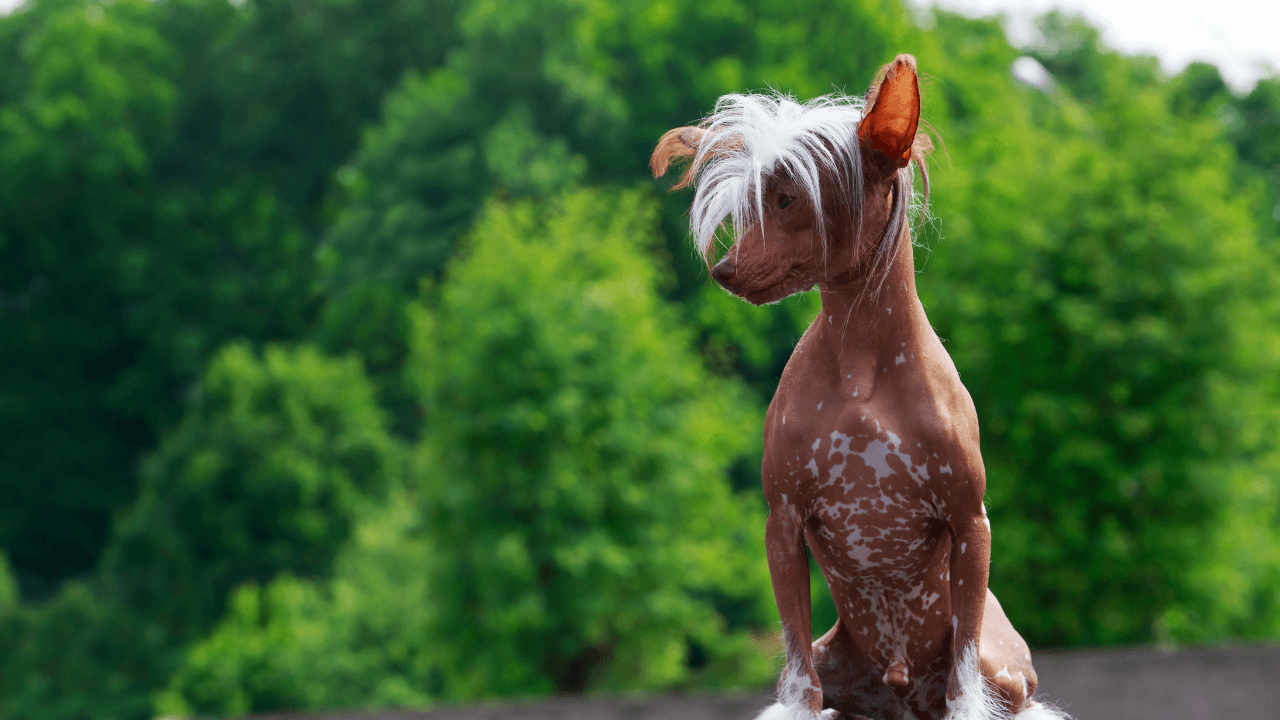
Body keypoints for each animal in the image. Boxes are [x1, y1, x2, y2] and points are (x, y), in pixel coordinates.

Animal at [655, 56, 1064, 717]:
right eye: (748, 202)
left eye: (788, 198)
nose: (725, 270)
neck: (860, 370)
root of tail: (900, 694)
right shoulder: (783, 523)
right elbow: (799, 684)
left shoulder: (971, 523)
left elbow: (963, 684)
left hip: (1004, 673)